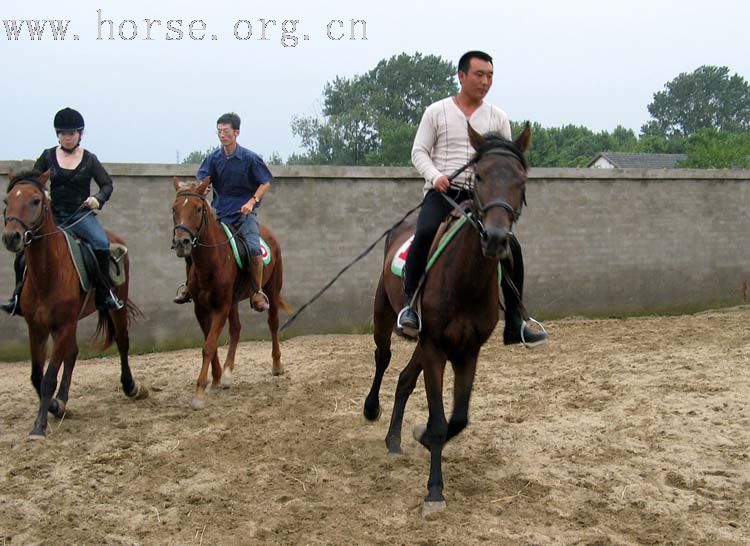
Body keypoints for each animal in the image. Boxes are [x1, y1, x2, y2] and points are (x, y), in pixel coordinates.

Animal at [2, 170, 148, 438]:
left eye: (35, 200)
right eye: (7, 201)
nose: (11, 237)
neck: (48, 273)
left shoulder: (62, 326)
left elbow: (49, 377)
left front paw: (39, 427)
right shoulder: (37, 328)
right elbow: (37, 376)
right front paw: (55, 407)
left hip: (115, 308)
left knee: (122, 342)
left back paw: (131, 386)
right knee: (72, 353)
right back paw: (62, 400)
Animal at [172, 175, 290, 408]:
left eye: (198, 208)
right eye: (174, 208)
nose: (182, 242)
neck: (212, 260)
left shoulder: (221, 306)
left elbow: (209, 346)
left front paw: (199, 393)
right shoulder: (202, 308)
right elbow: (211, 343)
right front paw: (217, 379)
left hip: (272, 289)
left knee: (273, 324)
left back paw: (277, 365)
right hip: (234, 301)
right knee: (236, 329)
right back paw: (227, 373)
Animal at [364, 123, 536, 516]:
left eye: (521, 180)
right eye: (480, 175)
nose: (496, 239)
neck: (465, 279)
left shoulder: (467, 350)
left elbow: (457, 418)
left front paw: (423, 437)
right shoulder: (435, 347)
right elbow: (441, 420)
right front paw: (434, 491)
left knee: (404, 379)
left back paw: (395, 440)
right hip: (385, 315)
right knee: (383, 358)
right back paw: (371, 409)